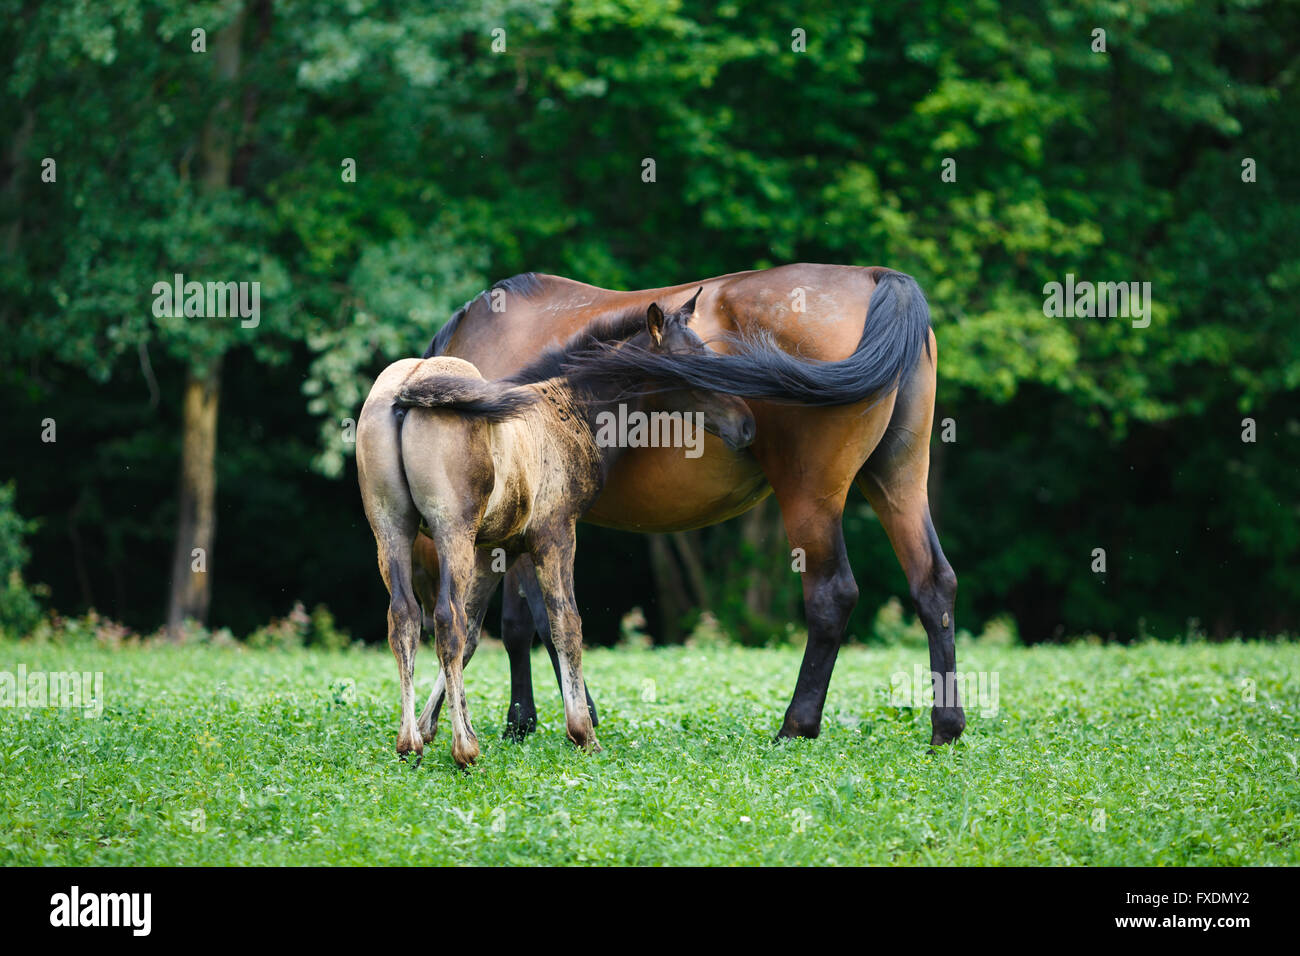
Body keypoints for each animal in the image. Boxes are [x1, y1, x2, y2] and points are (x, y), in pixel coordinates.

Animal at [421, 264, 961, 749]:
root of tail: (877, 277)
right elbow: (523, 624)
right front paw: (528, 721)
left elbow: (529, 622)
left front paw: (543, 719)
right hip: (897, 481)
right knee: (933, 584)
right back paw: (946, 728)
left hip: (811, 498)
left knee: (833, 596)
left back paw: (796, 726)